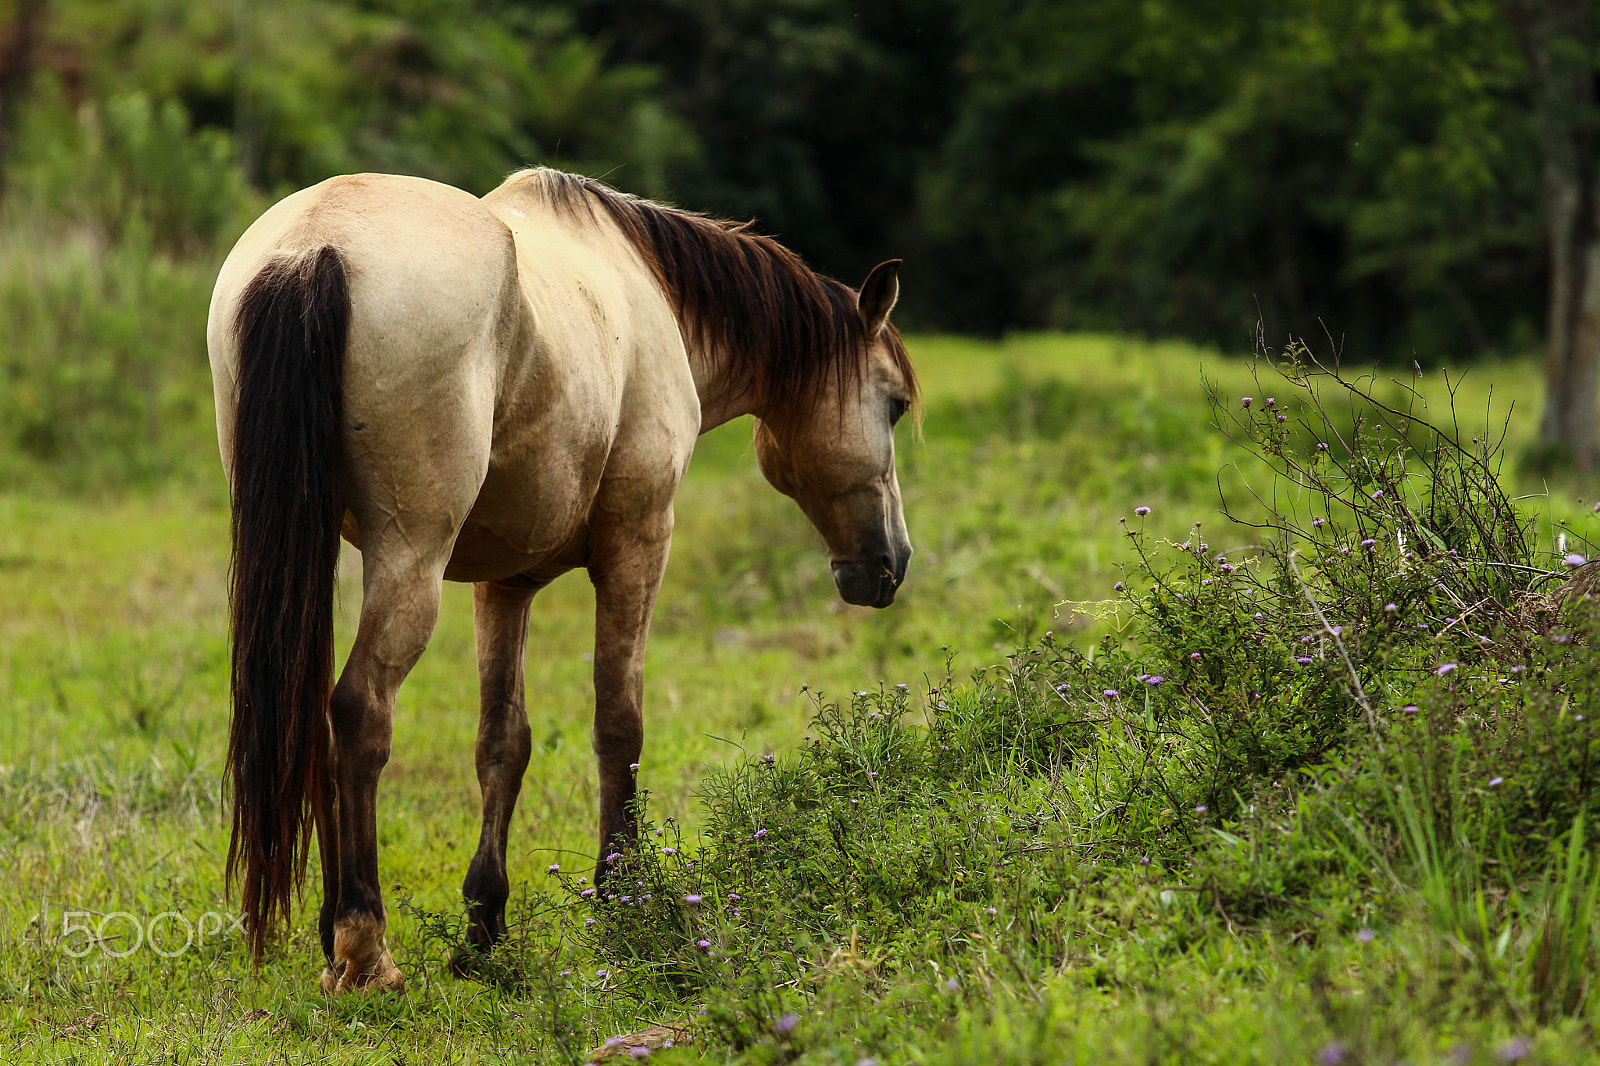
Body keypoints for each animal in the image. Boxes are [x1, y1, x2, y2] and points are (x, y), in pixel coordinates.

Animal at [205, 167, 917, 993]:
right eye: (894, 406)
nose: (890, 564)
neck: (654, 294)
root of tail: (317, 245)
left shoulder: (504, 582)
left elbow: (502, 742)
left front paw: (483, 925)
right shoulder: (638, 543)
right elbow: (619, 724)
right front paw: (623, 897)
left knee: (313, 712)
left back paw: (334, 933)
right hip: (410, 556)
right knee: (359, 710)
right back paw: (363, 947)